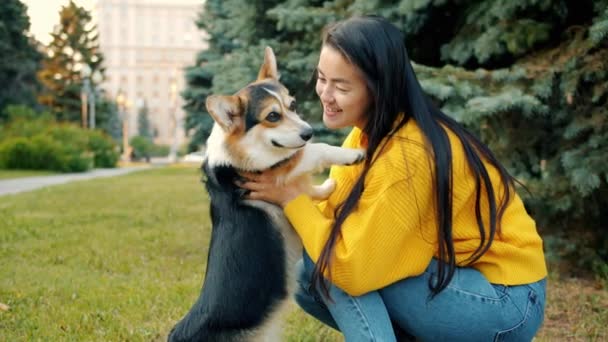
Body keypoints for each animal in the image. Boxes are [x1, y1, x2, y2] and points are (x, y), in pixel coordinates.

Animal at [167, 46, 366, 342]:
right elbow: (315, 150)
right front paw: (352, 155)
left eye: (292, 105)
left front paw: (327, 188)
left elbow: (309, 185)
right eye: (272, 116)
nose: (309, 131)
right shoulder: (278, 167)